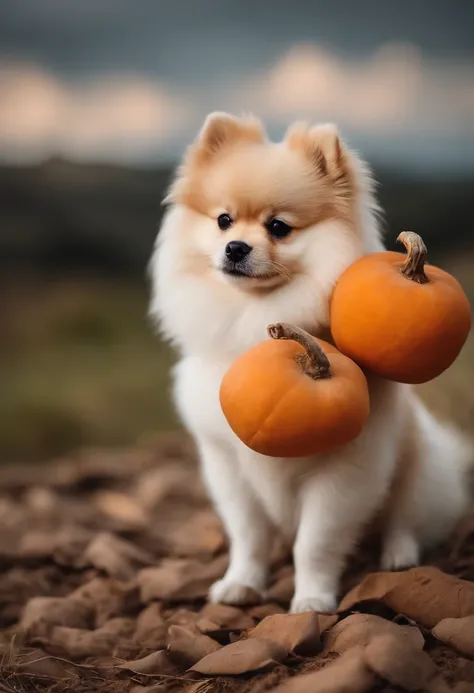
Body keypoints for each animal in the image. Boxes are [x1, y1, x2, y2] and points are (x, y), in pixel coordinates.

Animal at [149, 113, 470, 612]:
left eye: (279, 227)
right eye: (223, 221)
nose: (235, 247)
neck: (253, 321)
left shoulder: (345, 471)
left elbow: (314, 542)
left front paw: (312, 599)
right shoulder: (227, 466)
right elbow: (249, 535)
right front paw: (241, 583)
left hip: (421, 471)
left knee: (406, 520)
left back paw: (398, 555)